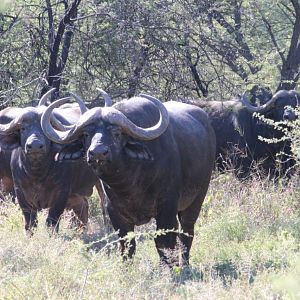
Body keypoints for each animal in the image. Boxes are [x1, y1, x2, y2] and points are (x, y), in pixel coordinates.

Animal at [0, 89, 101, 232]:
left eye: (45, 129)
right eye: (23, 128)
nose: (35, 145)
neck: (37, 174)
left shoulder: (61, 194)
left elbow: (52, 221)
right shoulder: (19, 192)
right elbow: (30, 222)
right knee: (82, 207)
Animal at [41, 89, 216, 264]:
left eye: (116, 133)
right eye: (86, 134)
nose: (98, 153)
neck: (129, 183)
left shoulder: (167, 207)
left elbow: (164, 243)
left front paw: (169, 267)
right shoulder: (114, 211)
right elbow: (127, 245)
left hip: (197, 198)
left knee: (187, 232)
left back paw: (184, 263)